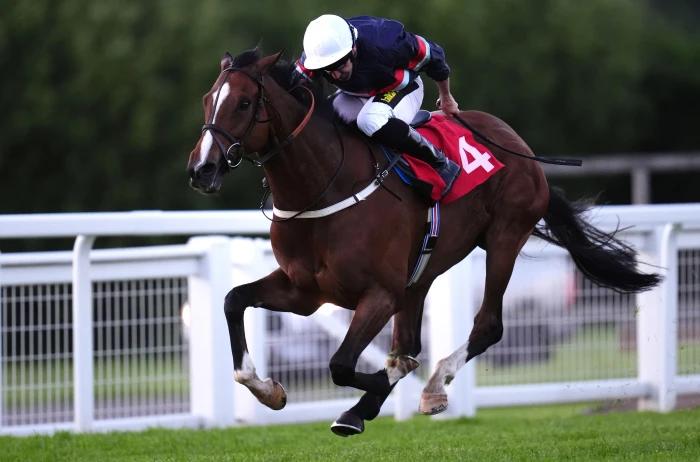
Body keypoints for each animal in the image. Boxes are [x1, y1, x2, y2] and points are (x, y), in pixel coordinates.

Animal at [186, 48, 660, 434]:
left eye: (244, 103)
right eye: (208, 100)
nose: (201, 169)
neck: (324, 187)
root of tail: (518, 144)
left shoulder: (379, 293)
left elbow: (343, 364)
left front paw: (379, 387)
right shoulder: (305, 292)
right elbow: (233, 300)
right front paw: (269, 390)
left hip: (505, 237)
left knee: (486, 325)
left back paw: (431, 385)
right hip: (423, 272)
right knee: (411, 341)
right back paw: (368, 406)